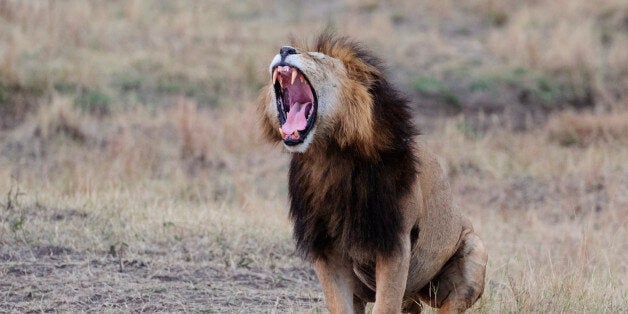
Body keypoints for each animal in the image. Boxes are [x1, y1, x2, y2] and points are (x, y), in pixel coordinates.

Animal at [258, 33, 488, 312]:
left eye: (320, 58)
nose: (284, 49)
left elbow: (385, 305)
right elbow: (340, 306)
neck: (330, 156)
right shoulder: (325, 248)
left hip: (473, 251)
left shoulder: (394, 243)